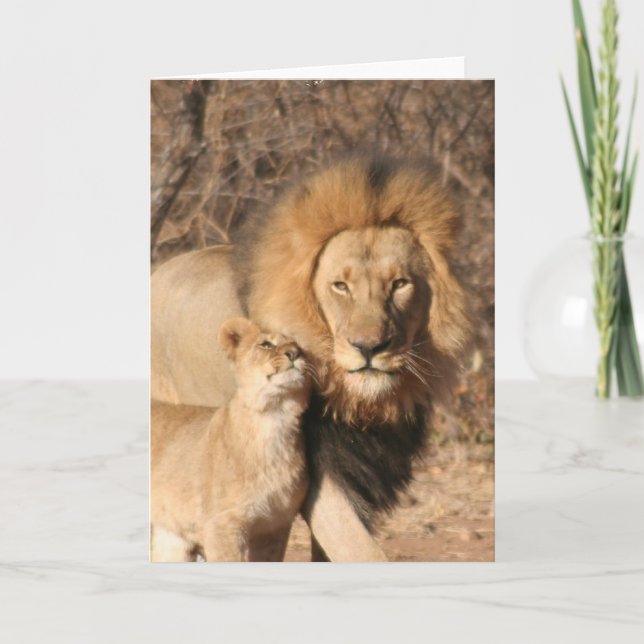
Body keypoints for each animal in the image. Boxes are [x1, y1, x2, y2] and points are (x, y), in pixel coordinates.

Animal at [150, 317, 311, 562]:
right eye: (266, 344)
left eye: (300, 347)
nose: (294, 353)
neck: (274, 418)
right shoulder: (222, 524)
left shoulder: (273, 526)